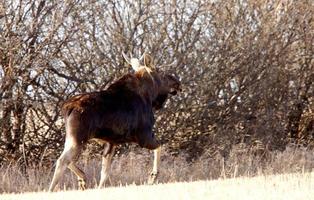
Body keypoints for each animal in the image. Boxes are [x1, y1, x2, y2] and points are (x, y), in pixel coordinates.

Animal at [49, 52, 182, 191]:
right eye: (161, 72)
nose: (177, 83)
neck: (150, 96)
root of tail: (67, 108)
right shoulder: (143, 136)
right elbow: (160, 146)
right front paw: (153, 176)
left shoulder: (111, 142)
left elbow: (104, 174)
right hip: (78, 138)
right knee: (62, 160)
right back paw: (53, 189)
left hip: (73, 137)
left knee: (63, 159)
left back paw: (82, 178)